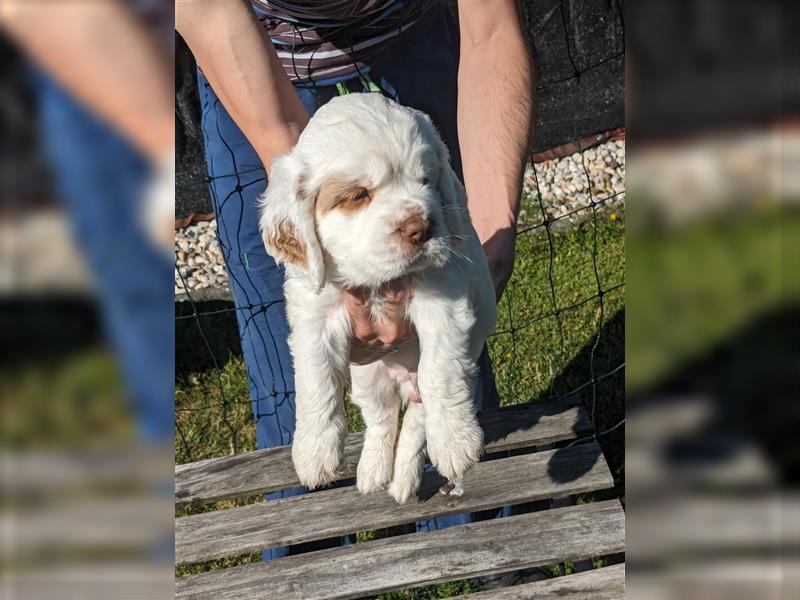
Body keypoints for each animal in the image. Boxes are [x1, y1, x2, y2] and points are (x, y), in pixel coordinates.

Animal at [260, 94, 496, 504]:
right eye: (358, 195)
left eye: (425, 180)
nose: (421, 228)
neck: (376, 281)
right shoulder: (314, 312)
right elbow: (315, 379)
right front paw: (313, 454)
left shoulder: (443, 299)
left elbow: (441, 371)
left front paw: (456, 442)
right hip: (368, 375)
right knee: (381, 417)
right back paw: (373, 472)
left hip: (415, 382)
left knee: (416, 419)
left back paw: (404, 481)